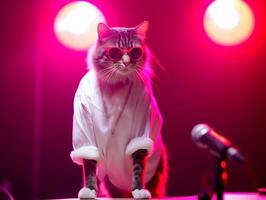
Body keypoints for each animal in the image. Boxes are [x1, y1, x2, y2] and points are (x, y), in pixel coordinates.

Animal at [69, 20, 167, 198]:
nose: (127, 62)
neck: (115, 85)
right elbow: (89, 166)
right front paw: (90, 189)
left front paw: (138, 189)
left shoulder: (141, 130)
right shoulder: (85, 132)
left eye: (135, 52)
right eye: (115, 52)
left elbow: (138, 167)